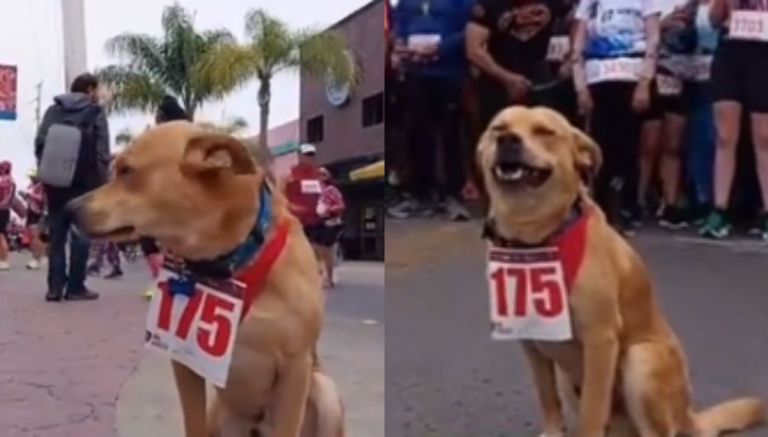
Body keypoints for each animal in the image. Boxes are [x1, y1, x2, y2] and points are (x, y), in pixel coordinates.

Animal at [69, 121, 344, 436]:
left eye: (127, 171)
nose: (68, 209)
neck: (229, 266)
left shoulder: (295, 369)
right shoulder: (185, 361)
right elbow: (193, 423)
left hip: (325, 392)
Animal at [476, 106, 764, 436]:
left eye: (544, 132)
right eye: (498, 128)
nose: (508, 140)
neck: (535, 240)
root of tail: (687, 414)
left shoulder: (600, 338)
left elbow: (592, 411)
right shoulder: (530, 341)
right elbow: (547, 396)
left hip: (640, 362)